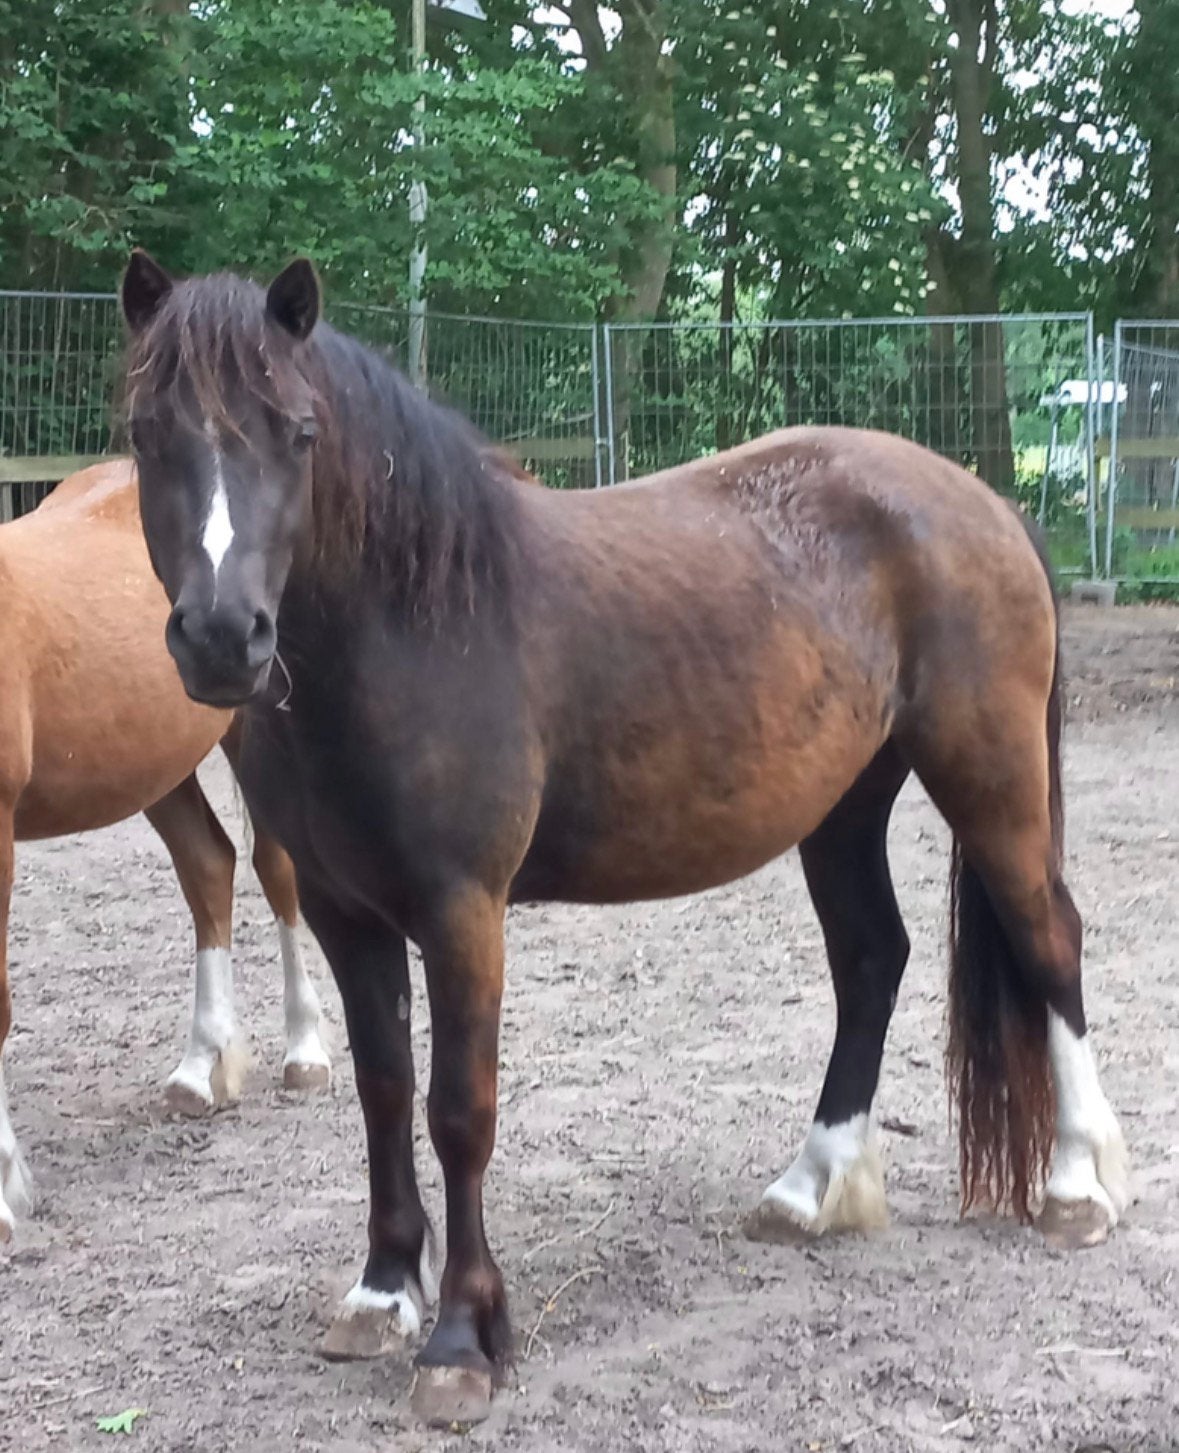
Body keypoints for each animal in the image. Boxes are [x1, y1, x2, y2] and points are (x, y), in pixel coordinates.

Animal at [0, 459, 332, 1242]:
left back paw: (305, 1054)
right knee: (208, 865)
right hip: (157, 766)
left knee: (276, 873)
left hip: (252, 729)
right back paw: (198, 1071)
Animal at [119, 252, 1129, 1427]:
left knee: (1050, 940)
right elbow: (381, 1096)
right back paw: (809, 1186)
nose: (222, 638)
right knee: (874, 958)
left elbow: (458, 1109)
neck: (414, 624)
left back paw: (1074, 1186)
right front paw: (380, 1293)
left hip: (993, 778)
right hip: (841, 810)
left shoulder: (463, 911)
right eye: (146, 432)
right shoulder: (342, 913)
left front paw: (462, 1340)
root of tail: (980, 499)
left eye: (300, 432)